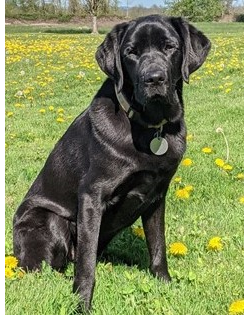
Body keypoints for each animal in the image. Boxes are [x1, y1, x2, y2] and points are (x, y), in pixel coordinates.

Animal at [13, 15, 209, 312]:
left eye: (169, 47)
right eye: (131, 52)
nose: (154, 78)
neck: (149, 128)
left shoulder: (157, 195)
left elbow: (158, 245)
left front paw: (165, 283)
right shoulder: (92, 195)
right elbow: (86, 264)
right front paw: (81, 304)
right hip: (49, 220)